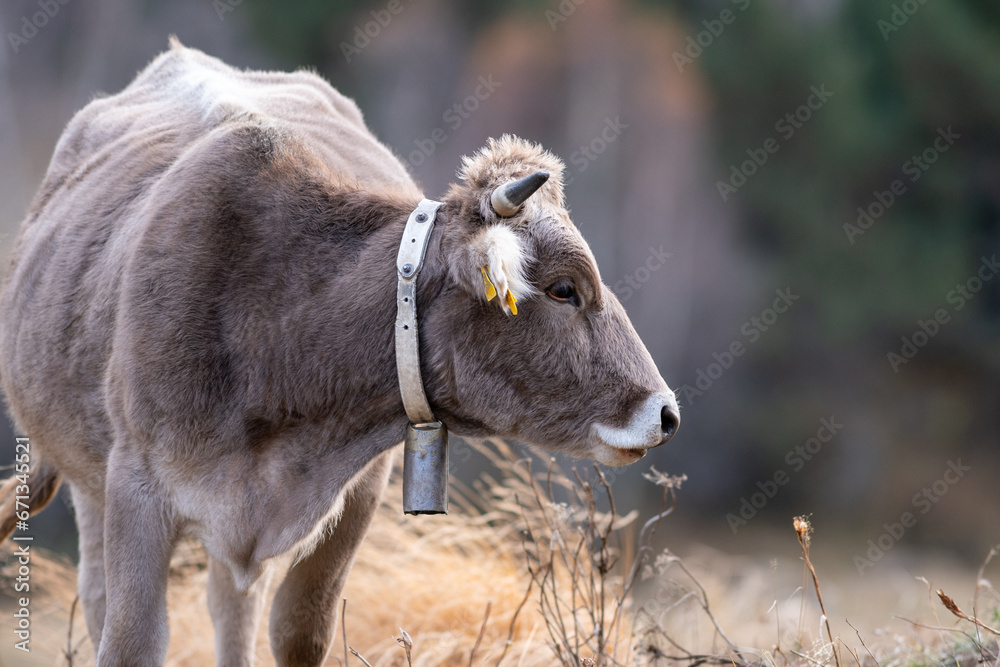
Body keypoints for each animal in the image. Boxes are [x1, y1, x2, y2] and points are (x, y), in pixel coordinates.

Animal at [0, 38, 680, 666]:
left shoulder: (356, 496)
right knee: (102, 598)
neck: (270, 329)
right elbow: (132, 641)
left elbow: (300, 631)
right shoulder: (136, 488)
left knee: (234, 608)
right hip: (89, 482)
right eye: (565, 289)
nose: (666, 412)